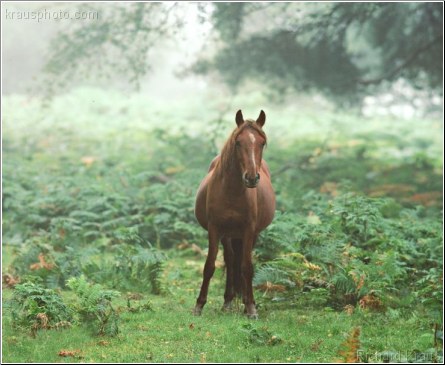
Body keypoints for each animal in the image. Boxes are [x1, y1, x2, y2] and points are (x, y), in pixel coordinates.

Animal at [193, 109, 274, 318]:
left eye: (262, 142)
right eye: (238, 142)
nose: (252, 178)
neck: (232, 191)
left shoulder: (248, 229)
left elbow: (247, 267)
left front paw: (251, 307)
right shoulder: (214, 229)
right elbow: (209, 266)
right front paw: (199, 305)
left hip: (251, 234)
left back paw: (244, 301)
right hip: (227, 234)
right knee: (230, 261)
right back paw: (228, 301)